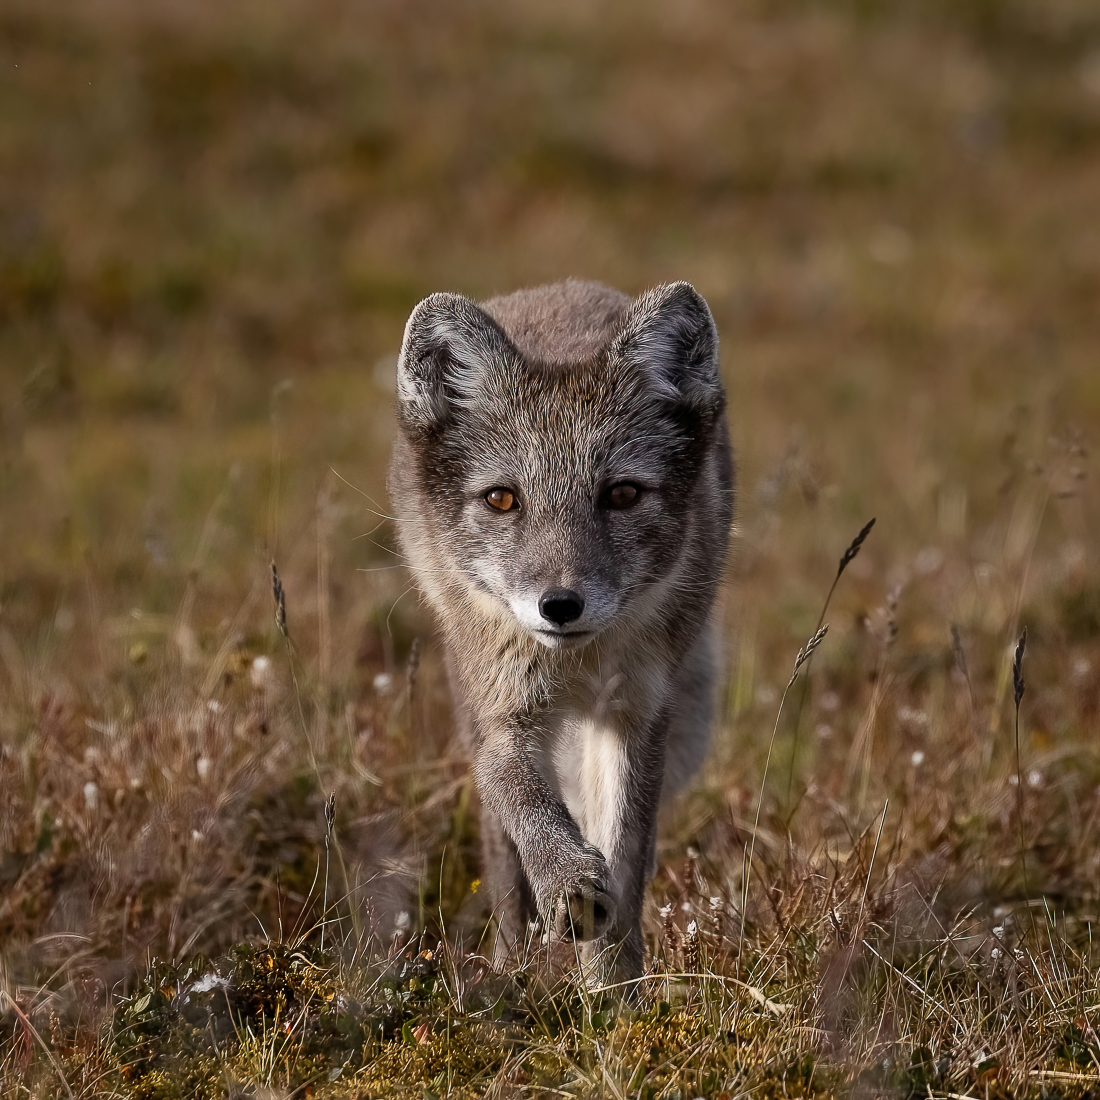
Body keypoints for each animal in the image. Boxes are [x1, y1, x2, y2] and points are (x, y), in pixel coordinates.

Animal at [391, 279, 734, 976]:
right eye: (502, 499)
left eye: (622, 495)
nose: (560, 605)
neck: (575, 666)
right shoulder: (502, 707)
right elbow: (524, 803)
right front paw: (568, 884)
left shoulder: (636, 711)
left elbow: (623, 854)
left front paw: (614, 987)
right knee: (501, 856)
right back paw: (509, 965)